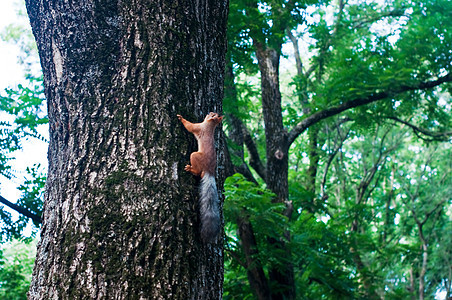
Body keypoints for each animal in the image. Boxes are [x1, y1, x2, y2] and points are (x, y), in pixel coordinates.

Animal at [178, 111, 224, 243]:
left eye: (213, 114)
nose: (209, 112)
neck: (210, 126)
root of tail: (210, 171)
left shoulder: (199, 127)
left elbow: (189, 126)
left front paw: (181, 118)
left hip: (195, 156)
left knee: (199, 172)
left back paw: (190, 169)